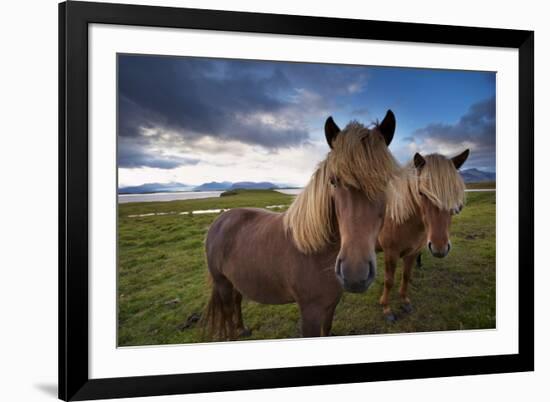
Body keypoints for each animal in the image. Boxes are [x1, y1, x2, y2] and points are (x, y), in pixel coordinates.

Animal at [203, 110, 402, 340]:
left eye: (386, 181)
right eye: (333, 181)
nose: (355, 274)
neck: (316, 252)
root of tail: (219, 221)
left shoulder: (330, 305)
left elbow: (327, 329)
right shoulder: (310, 313)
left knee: (237, 301)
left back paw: (242, 329)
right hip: (223, 284)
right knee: (227, 311)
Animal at [378, 149, 472, 322]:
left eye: (454, 192)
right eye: (421, 192)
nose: (440, 248)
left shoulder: (412, 253)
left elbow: (406, 276)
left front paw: (405, 301)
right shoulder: (390, 253)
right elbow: (389, 281)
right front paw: (386, 308)